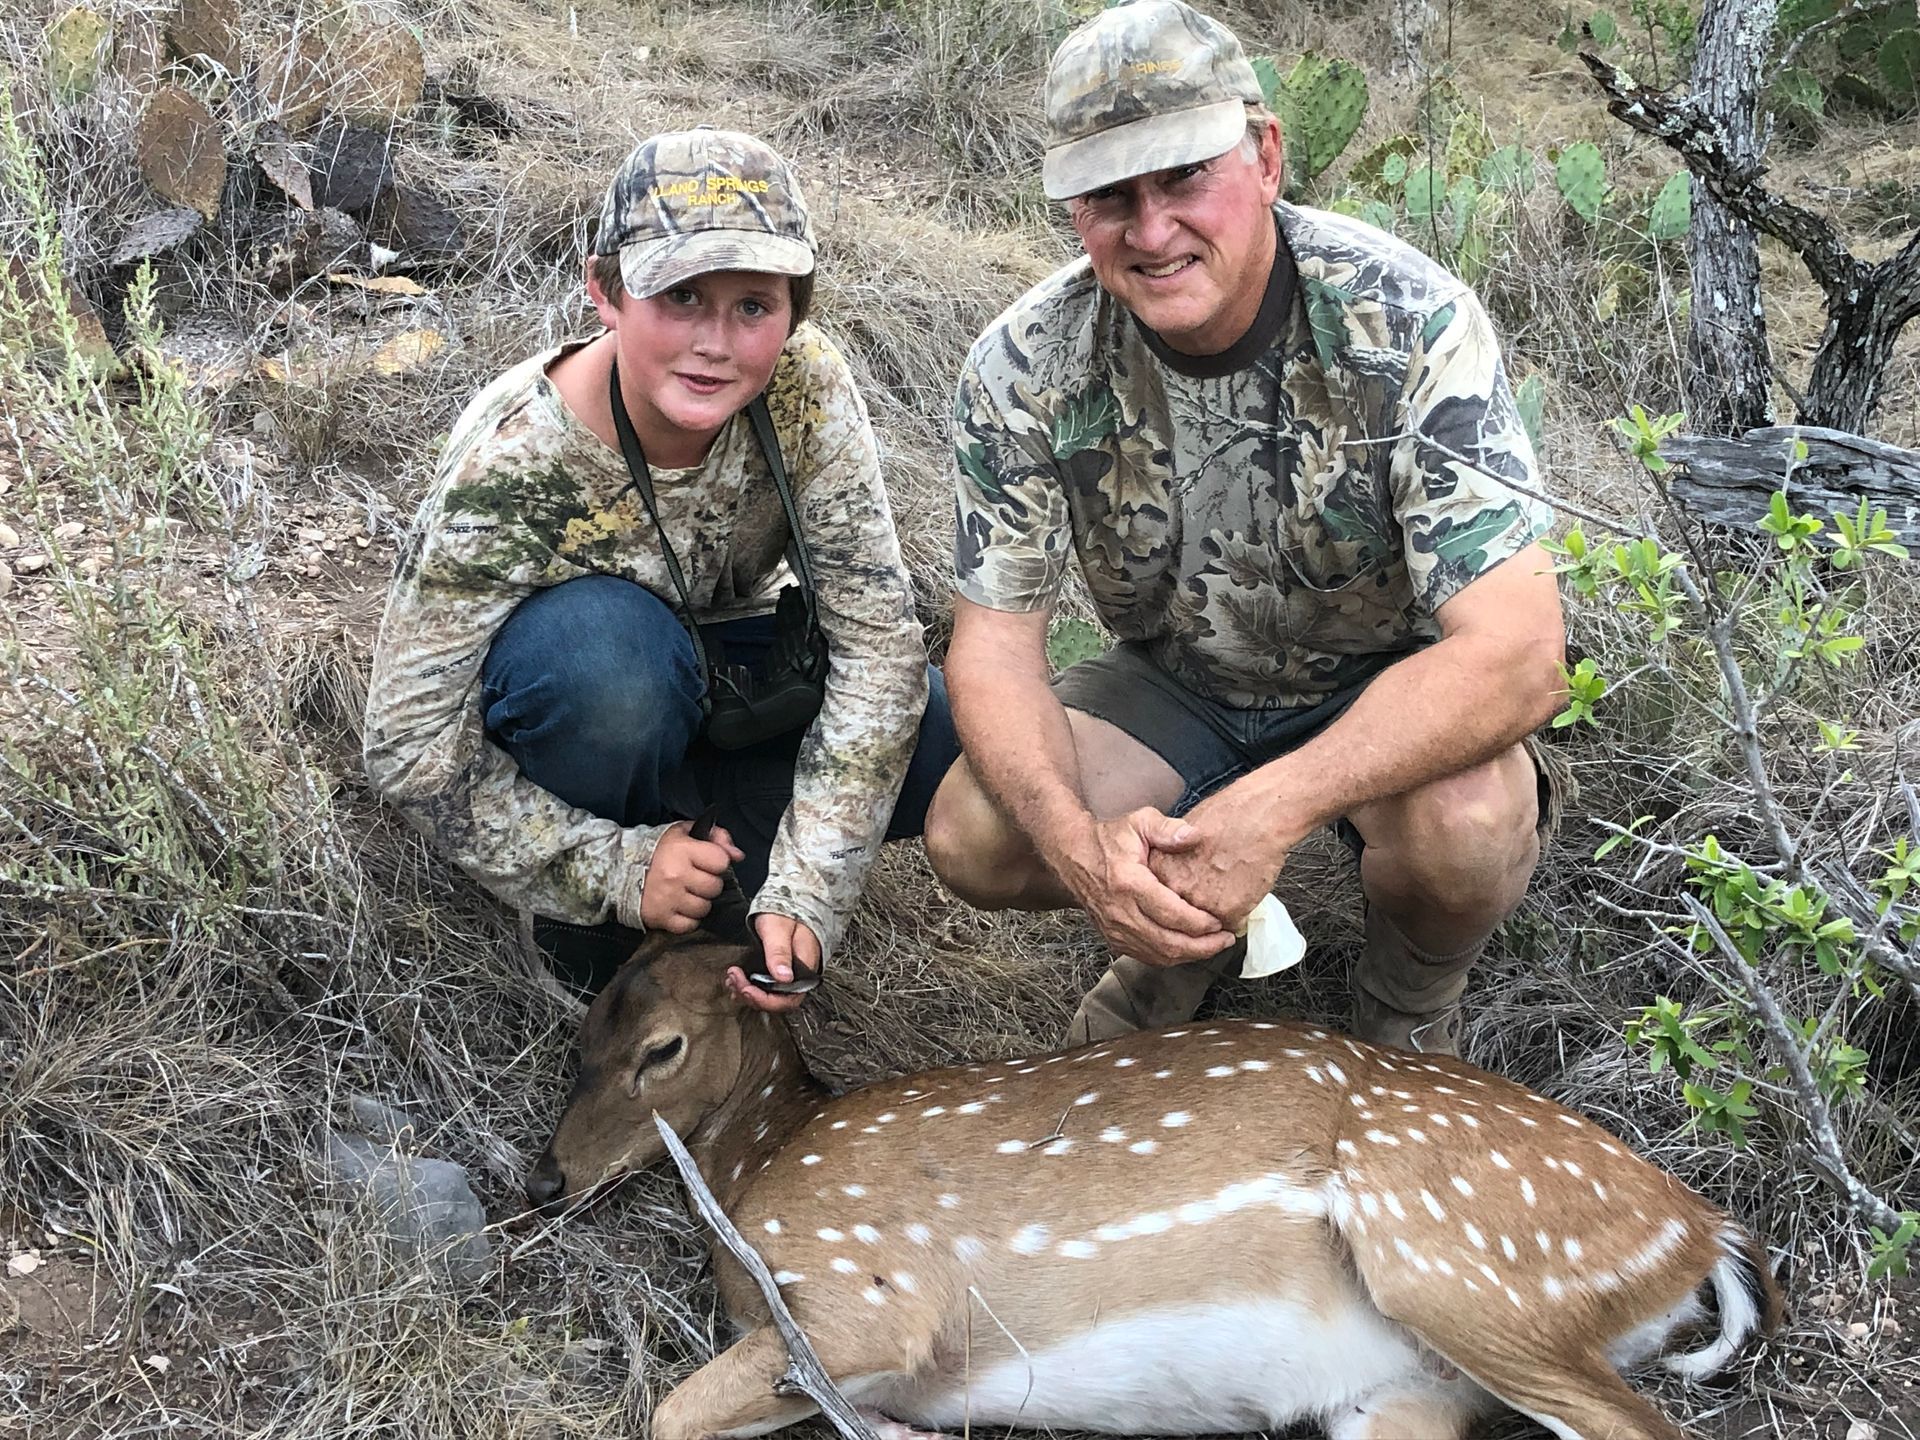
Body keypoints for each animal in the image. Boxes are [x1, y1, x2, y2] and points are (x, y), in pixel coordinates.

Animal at [527, 916, 1782, 1440]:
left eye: (662, 1049)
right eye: (578, 1035)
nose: (549, 1177)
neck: (761, 1170)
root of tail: (1704, 1232)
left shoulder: (871, 1295)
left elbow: (668, 1414)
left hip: (1469, 1264)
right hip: (1405, 1394)